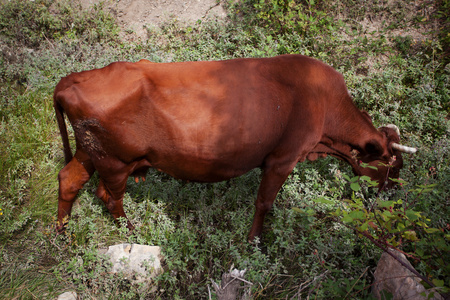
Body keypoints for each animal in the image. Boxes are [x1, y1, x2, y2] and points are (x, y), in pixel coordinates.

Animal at [54, 54, 416, 241]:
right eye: (392, 164)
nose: (394, 194)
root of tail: (74, 78)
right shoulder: (283, 158)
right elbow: (264, 203)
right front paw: (255, 241)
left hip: (91, 153)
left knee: (71, 180)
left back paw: (61, 233)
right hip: (114, 161)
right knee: (110, 197)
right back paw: (132, 233)